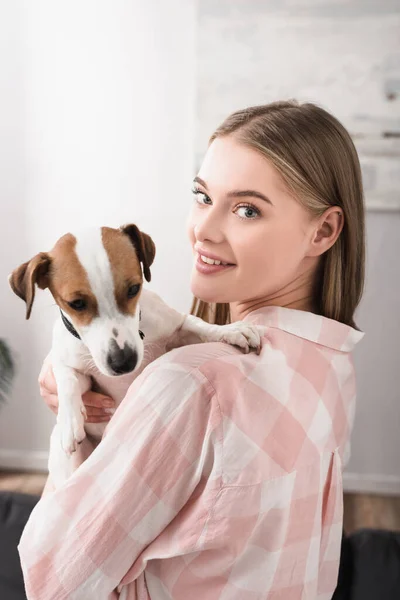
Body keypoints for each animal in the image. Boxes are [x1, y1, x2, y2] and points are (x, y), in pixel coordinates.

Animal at [9, 225, 264, 488]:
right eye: (76, 303)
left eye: (133, 289)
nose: (123, 362)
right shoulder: (72, 365)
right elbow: (67, 378)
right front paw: (69, 421)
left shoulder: (176, 329)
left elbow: (198, 324)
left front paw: (231, 330)